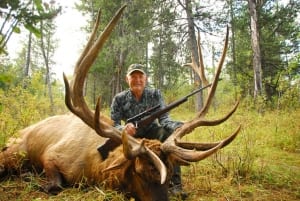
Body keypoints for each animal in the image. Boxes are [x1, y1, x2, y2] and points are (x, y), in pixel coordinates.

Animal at [0, 4, 239, 201]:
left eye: (171, 171)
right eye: (140, 171)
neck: (94, 165)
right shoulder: (51, 156)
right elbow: (55, 184)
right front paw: (36, 181)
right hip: (13, 152)